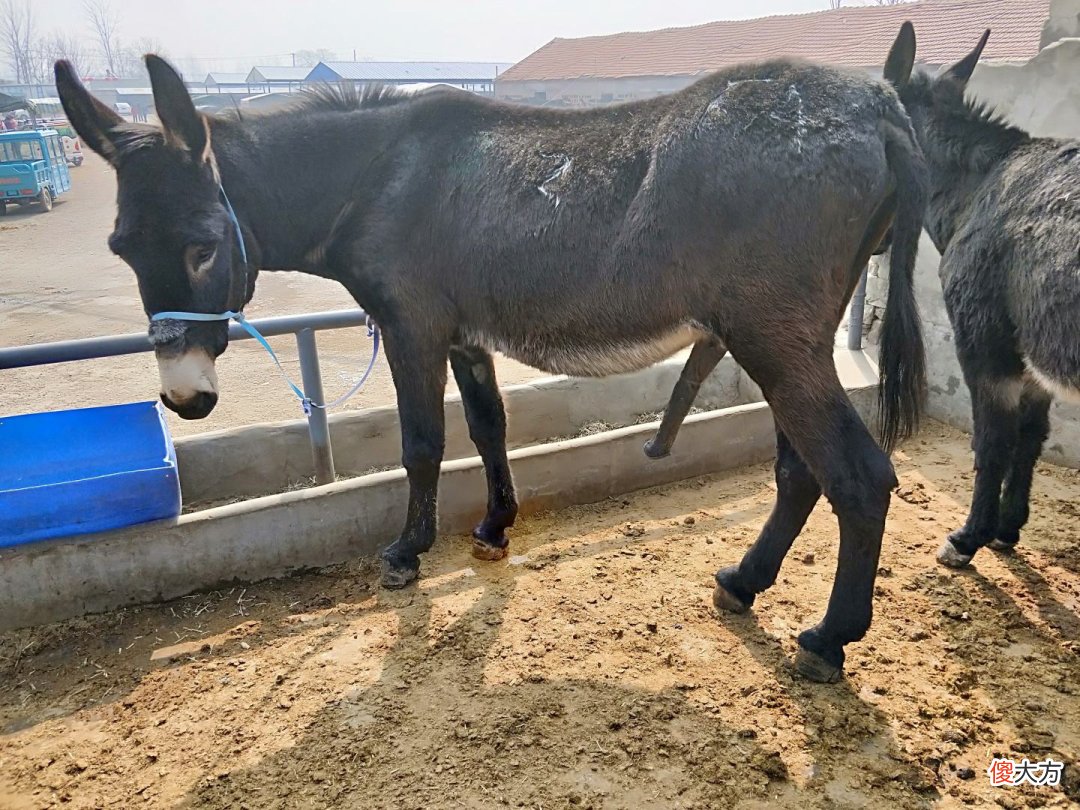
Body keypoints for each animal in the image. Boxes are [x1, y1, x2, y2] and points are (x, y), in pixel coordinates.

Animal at [54, 40, 926, 682]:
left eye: (203, 247)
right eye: (120, 248)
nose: (185, 399)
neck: (374, 177)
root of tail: (878, 105)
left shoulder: (411, 325)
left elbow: (421, 443)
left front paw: (406, 554)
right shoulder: (466, 336)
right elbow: (488, 428)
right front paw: (496, 526)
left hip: (774, 338)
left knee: (858, 476)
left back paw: (829, 640)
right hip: (785, 338)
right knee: (801, 471)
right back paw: (744, 583)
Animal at [886, 24, 1080, 569]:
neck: (975, 189)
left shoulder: (984, 343)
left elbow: (993, 440)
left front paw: (968, 537)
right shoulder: (1030, 353)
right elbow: (1031, 437)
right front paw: (1008, 528)